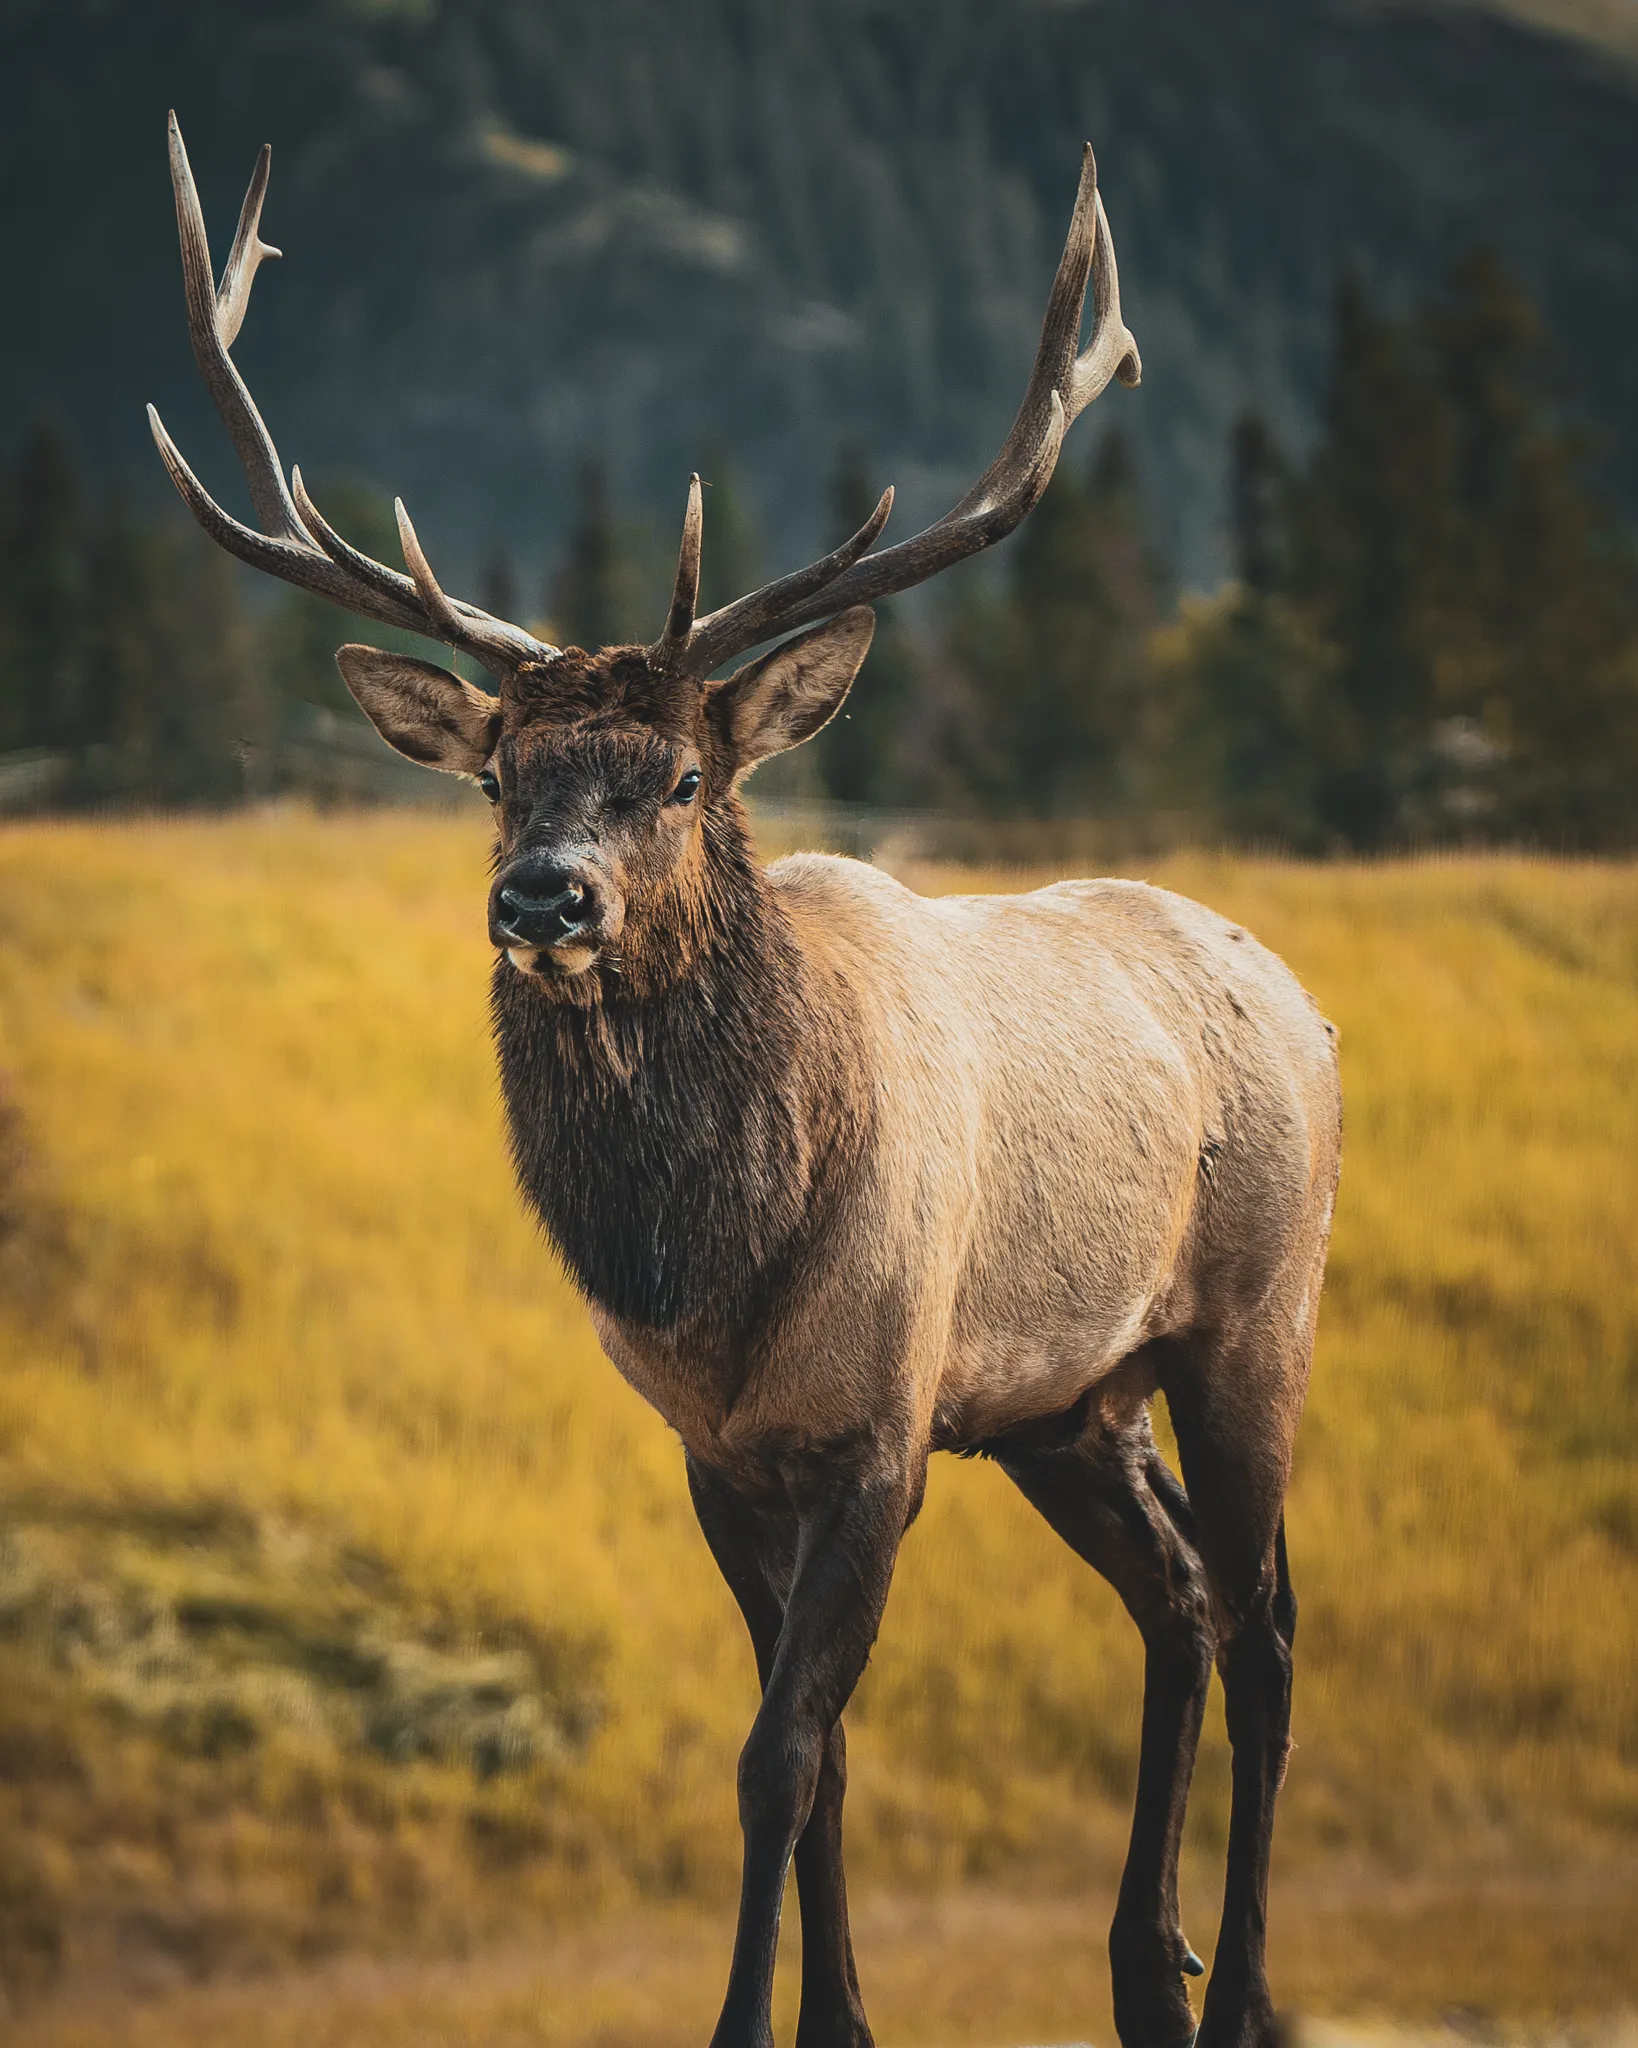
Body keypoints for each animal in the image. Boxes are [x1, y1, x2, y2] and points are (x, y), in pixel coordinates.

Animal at [149, 110, 1341, 2048]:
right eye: (502, 775)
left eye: (683, 779)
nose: (541, 898)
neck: (713, 1267)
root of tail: (1305, 1005)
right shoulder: (718, 1453)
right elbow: (822, 1752)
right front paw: (834, 2018)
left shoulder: (878, 1428)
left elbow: (778, 1751)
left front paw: (753, 2020)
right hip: (1065, 1400)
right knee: (1173, 1606)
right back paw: (1138, 1971)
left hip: (1251, 1319)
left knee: (1265, 1627)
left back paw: (1231, 1987)